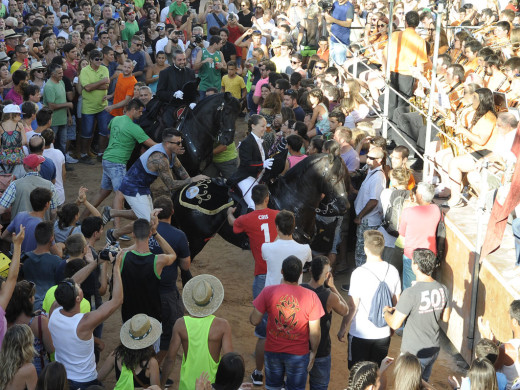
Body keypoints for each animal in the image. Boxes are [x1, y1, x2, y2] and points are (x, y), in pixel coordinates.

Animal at [171, 152, 350, 258]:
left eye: (345, 177)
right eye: (333, 178)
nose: (345, 206)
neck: (293, 202)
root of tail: (184, 191)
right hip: (196, 240)